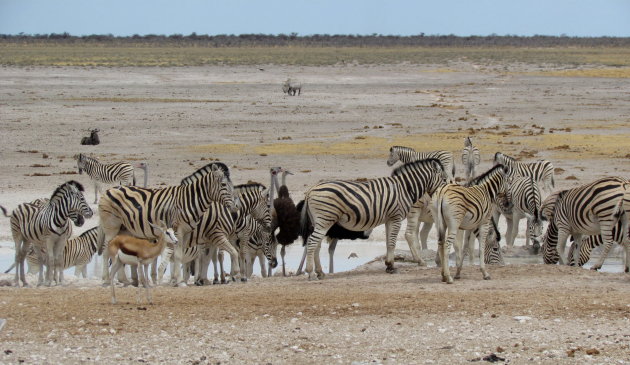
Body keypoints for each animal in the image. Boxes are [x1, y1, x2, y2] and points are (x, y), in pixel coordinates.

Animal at [97, 161, 236, 284]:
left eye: (232, 185)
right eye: (223, 184)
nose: (235, 207)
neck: (189, 200)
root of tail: (108, 190)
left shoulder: (186, 233)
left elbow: (180, 255)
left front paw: (178, 280)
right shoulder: (181, 230)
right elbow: (180, 256)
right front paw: (179, 281)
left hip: (124, 229)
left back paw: (124, 280)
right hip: (111, 228)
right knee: (106, 251)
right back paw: (106, 279)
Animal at [302, 158, 450, 280]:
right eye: (444, 180)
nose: (443, 196)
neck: (405, 188)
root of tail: (311, 190)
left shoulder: (389, 219)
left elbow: (388, 242)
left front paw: (389, 265)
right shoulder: (396, 217)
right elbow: (392, 243)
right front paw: (392, 267)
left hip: (320, 221)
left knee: (316, 244)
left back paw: (320, 272)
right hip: (325, 219)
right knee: (312, 242)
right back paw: (311, 273)